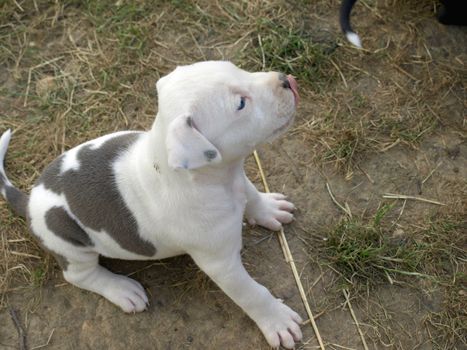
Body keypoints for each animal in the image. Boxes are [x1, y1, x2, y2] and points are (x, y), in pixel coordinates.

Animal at [0, 61, 304, 348]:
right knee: (79, 275)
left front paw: (269, 209)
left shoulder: (238, 180)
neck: (214, 180)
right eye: (240, 104)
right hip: (70, 244)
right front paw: (277, 321)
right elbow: (252, 294)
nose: (285, 80)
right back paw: (122, 289)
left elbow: (252, 195)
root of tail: (30, 199)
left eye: (238, 69)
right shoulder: (221, 264)